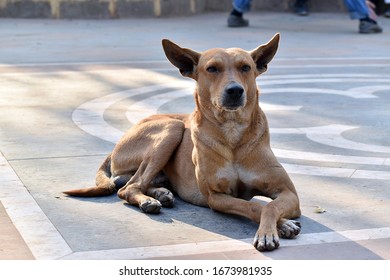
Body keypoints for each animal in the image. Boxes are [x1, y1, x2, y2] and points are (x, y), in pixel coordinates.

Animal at [64, 34, 302, 253]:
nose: (235, 90)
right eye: (212, 69)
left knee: (136, 182)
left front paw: (276, 227)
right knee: (129, 187)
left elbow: (270, 206)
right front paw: (277, 227)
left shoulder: (289, 192)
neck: (232, 134)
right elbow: (253, 206)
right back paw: (148, 200)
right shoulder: (216, 197)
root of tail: (117, 144)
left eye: (246, 67)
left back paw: (160, 193)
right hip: (172, 128)